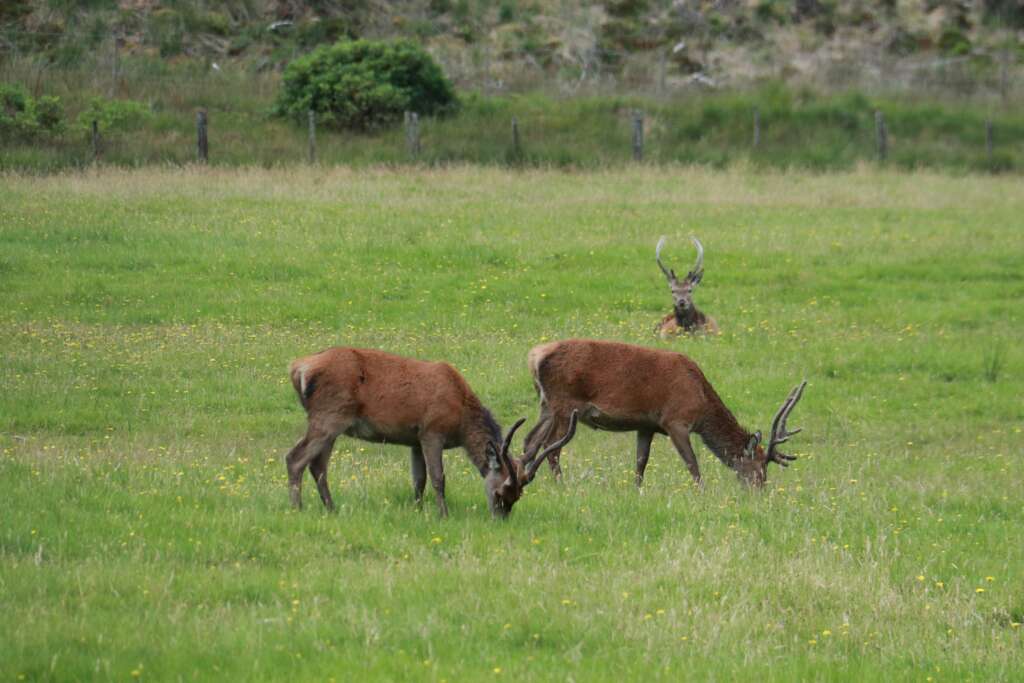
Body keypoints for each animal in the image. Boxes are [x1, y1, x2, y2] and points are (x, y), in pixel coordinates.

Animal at [284, 348, 581, 518]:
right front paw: (443, 514)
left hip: (332, 423)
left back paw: (331, 508)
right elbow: (438, 478)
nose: (500, 519)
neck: (460, 419)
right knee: (295, 457)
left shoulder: (414, 439)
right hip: (329, 416)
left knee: (318, 465)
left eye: (517, 496)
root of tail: (298, 368)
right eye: (500, 492)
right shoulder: (431, 431)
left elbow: (418, 479)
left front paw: (418, 510)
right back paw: (297, 508)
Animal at [524, 339, 802, 489]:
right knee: (552, 447)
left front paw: (636, 491)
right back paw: (561, 485)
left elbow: (640, 462)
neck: (701, 402)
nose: (760, 492)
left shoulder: (646, 425)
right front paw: (702, 494)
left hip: (546, 406)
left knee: (531, 441)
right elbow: (692, 463)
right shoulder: (675, 420)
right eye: (759, 468)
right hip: (564, 404)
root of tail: (535, 356)